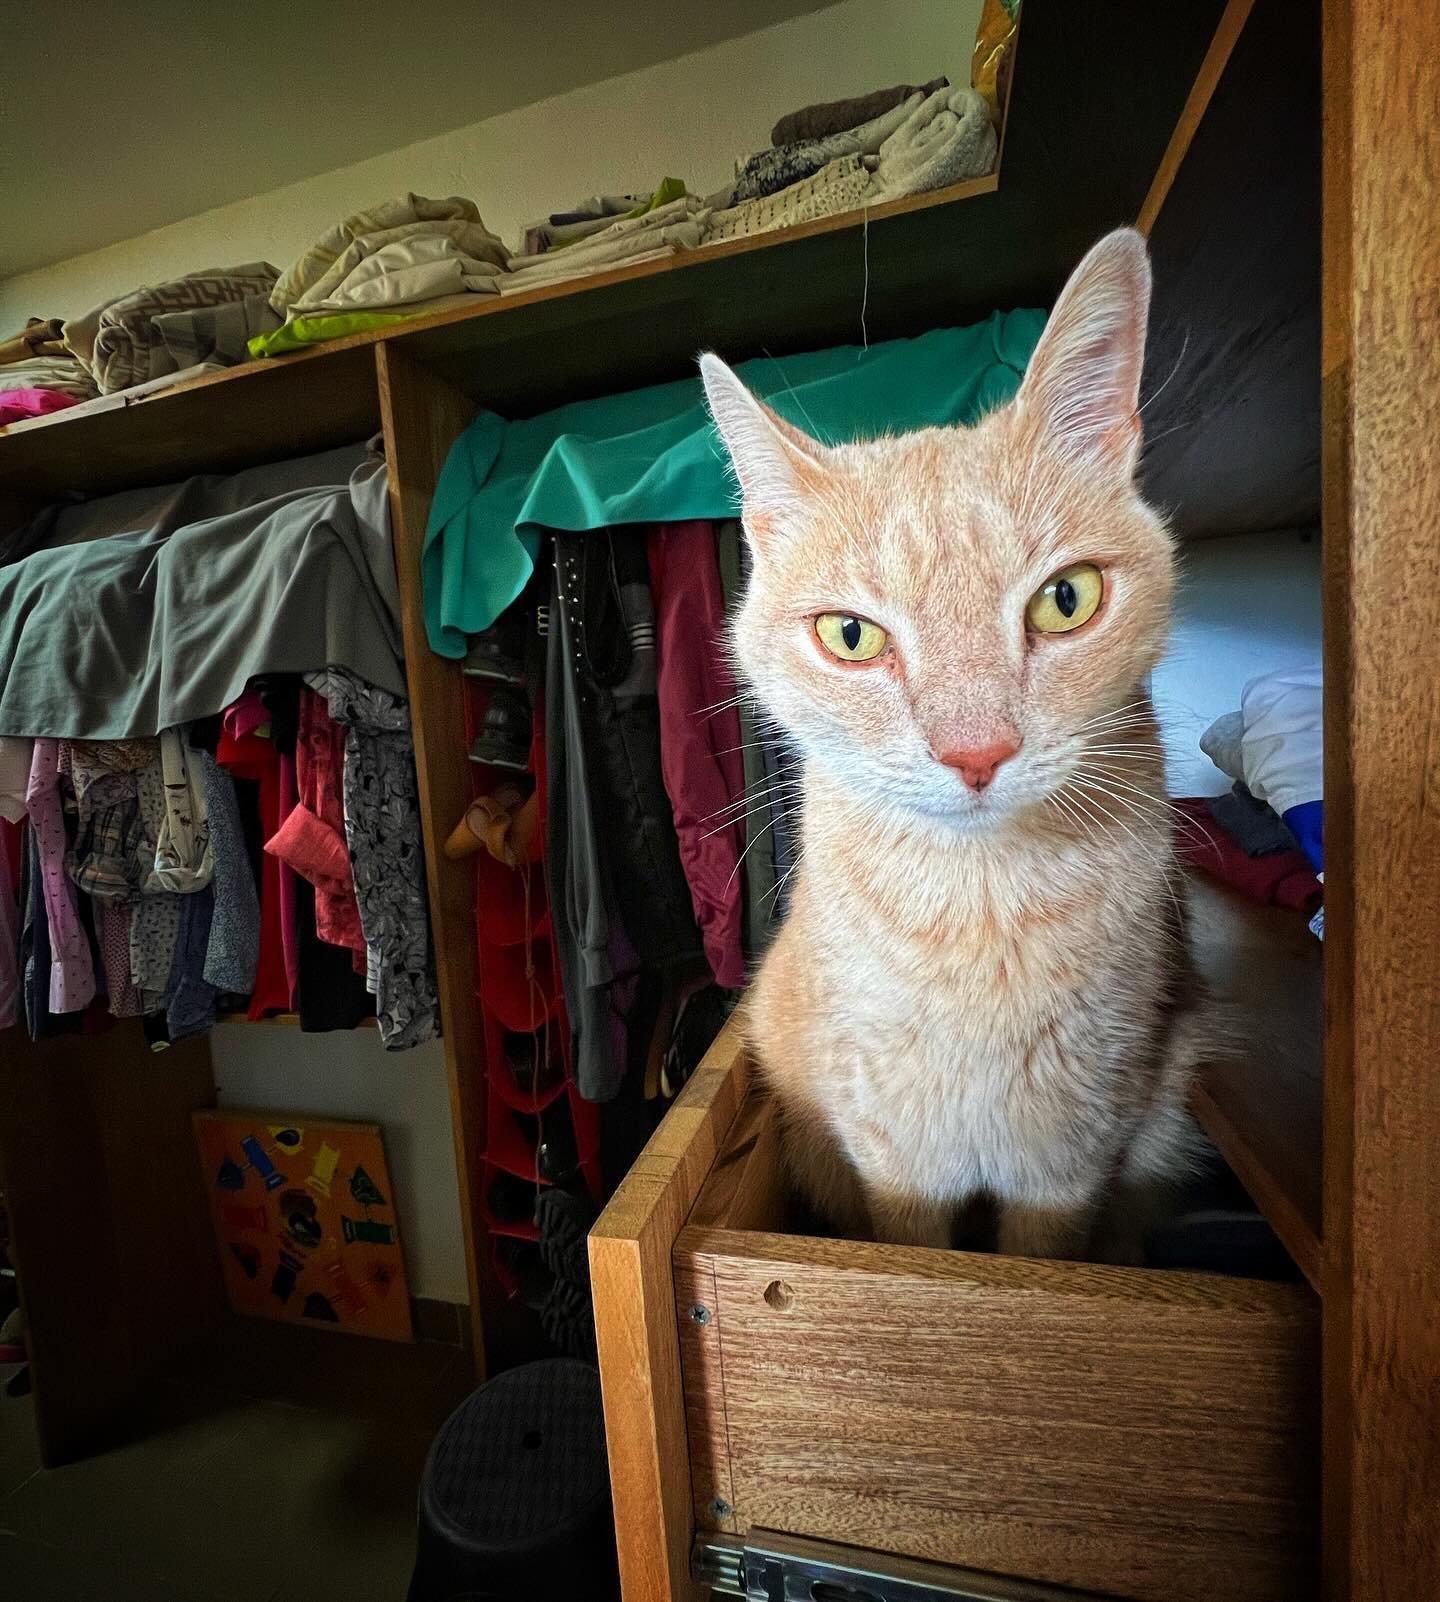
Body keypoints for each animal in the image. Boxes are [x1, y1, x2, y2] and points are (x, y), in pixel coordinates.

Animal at [698, 225, 1204, 1255]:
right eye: (853, 636)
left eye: (1066, 600)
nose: (977, 754)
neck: (979, 908)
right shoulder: (899, 1160)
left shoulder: (1068, 1161)